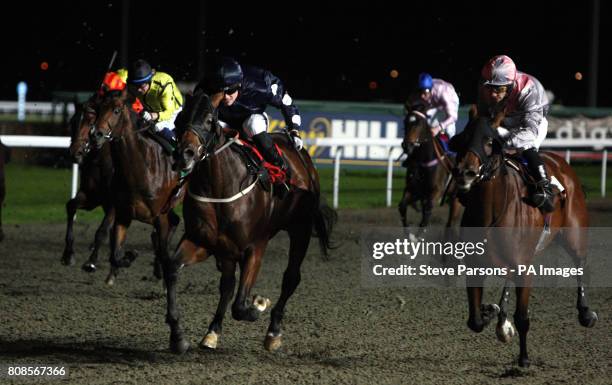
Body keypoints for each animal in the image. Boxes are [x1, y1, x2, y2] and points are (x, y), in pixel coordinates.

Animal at [61, 102, 116, 270]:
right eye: (72, 122)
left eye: (91, 123)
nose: (74, 153)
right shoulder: (92, 197)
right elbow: (71, 206)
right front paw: (68, 254)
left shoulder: (115, 203)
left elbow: (102, 230)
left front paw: (92, 261)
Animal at [89, 91, 182, 284]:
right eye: (99, 108)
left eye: (116, 110)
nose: (95, 135)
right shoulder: (123, 214)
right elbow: (115, 255)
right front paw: (128, 257)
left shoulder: (159, 217)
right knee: (175, 221)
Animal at [163, 90, 334, 354]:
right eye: (180, 119)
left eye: (209, 120)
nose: (184, 154)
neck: (221, 187)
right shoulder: (202, 241)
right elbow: (173, 268)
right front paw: (178, 336)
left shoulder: (255, 246)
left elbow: (241, 306)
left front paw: (259, 304)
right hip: (227, 250)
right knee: (227, 285)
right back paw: (212, 331)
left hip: (300, 229)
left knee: (290, 278)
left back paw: (273, 332)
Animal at [454, 115, 596, 366]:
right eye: (462, 138)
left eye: (489, 141)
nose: (465, 173)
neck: (490, 211)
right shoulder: (474, 265)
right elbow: (475, 321)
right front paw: (491, 312)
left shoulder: (524, 268)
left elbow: (522, 318)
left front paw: (524, 359)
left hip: (574, 236)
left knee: (581, 265)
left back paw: (586, 313)